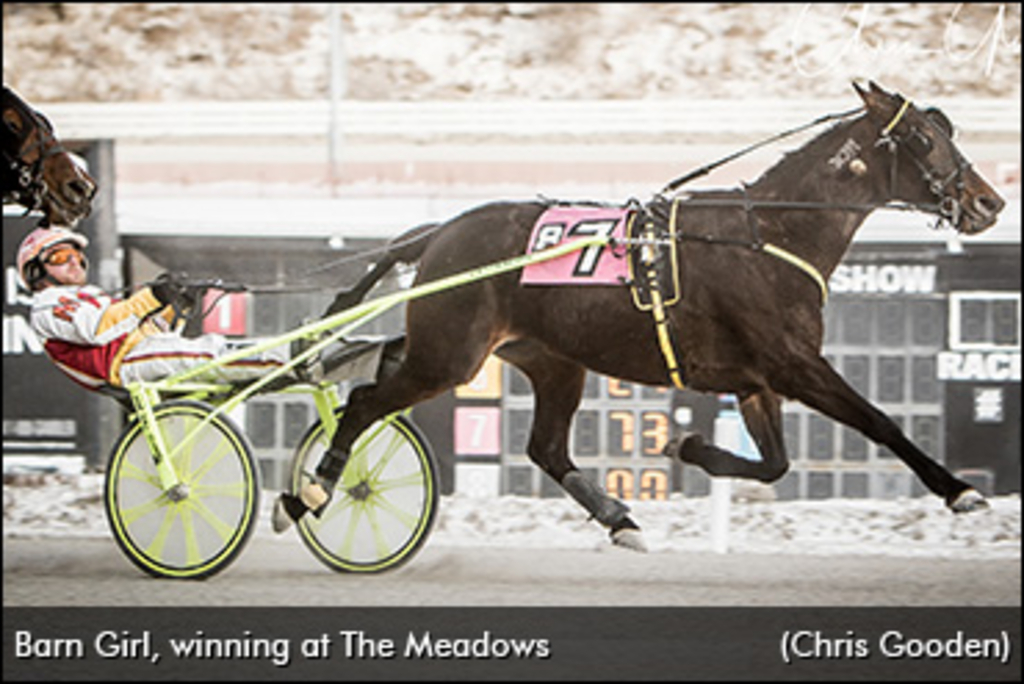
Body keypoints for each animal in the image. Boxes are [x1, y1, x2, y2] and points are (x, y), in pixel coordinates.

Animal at [276, 81, 1003, 548]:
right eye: (924, 138)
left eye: (946, 132)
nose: (989, 202)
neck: (768, 233)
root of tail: (439, 232)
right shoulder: (795, 364)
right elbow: (881, 422)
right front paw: (958, 490)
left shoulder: (756, 379)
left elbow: (773, 464)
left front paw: (688, 446)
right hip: (451, 353)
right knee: (365, 402)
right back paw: (306, 494)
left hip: (547, 360)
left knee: (541, 446)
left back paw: (618, 519)